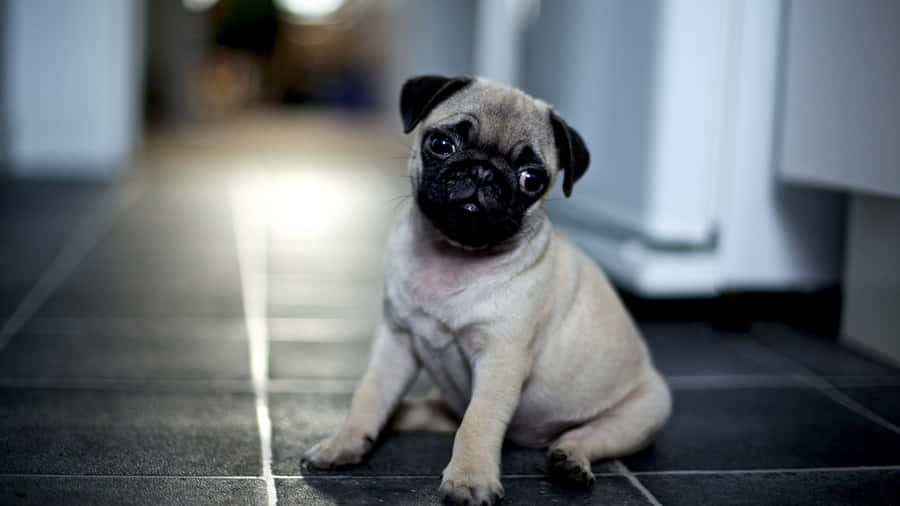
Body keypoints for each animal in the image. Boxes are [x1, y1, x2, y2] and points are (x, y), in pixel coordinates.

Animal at [300, 76, 668, 506]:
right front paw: (344, 442)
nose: (482, 172)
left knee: (584, 436)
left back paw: (570, 462)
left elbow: (479, 422)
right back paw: (396, 417)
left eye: (531, 179)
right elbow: (371, 394)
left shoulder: (499, 360)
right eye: (441, 144)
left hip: (644, 413)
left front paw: (469, 480)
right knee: (429, 411)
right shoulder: (396, 342)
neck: (452, 255)